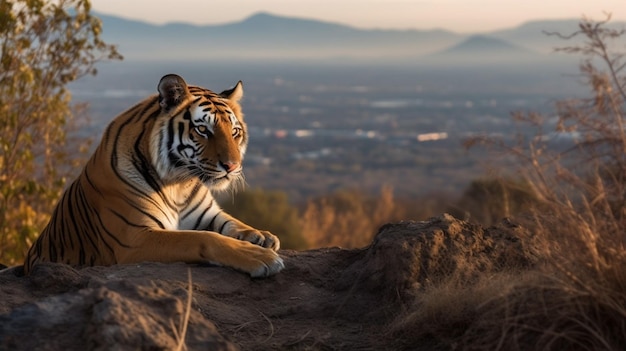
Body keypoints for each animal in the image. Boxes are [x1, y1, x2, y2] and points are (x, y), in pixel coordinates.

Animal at [24, 74, 282, 278]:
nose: (233, 166)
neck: (180, 183)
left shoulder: (207, 215)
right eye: (202, 130)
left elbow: (234, 223)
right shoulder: (134, 239)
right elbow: (203, 238)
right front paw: (260, 256)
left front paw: (262, 236)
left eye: (235, 132)